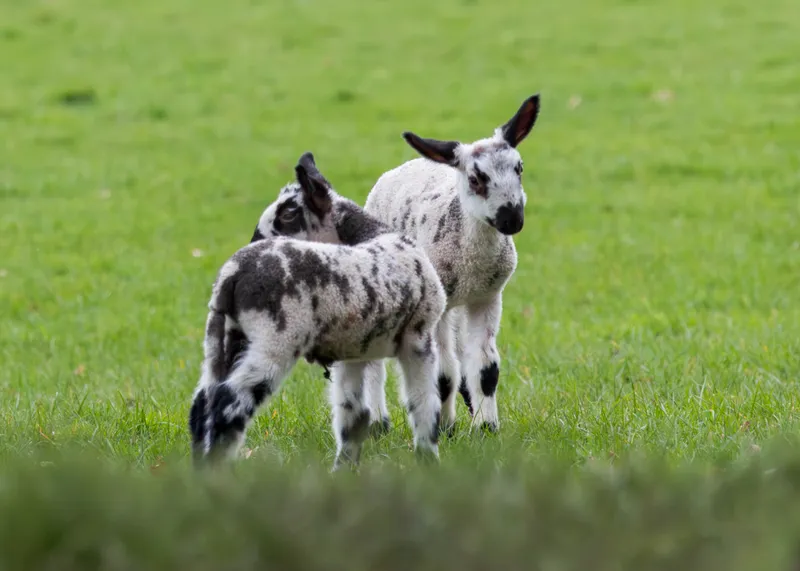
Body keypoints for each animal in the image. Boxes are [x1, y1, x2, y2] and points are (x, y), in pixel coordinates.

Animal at [188, 152, 446, 470]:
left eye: (287, 216)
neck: (375, 234)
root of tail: (233, 273)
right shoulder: (419, 339)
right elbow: (424, 405)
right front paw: (429, 462)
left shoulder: (353, 352)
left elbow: (352, 416)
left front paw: (344, 470)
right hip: (275, 341)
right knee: (229, 404)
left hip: (221, 338)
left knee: (202, 403)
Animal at [362, 94, 541, 435]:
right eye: (475, 179)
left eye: (520, 168)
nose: (512, 219)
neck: (472, 263)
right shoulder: (439, 305)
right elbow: (443, 374)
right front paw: (443, 428)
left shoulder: (487, 297)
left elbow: (486, 370)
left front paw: (487, 427)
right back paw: (377, 423)